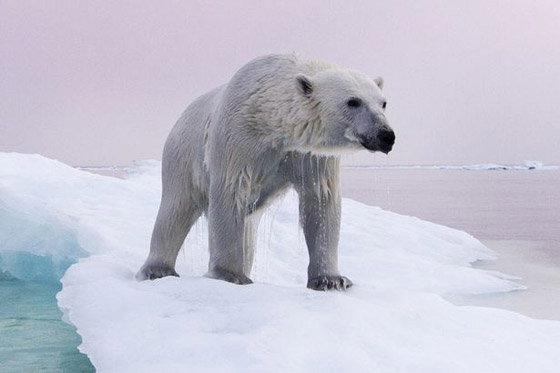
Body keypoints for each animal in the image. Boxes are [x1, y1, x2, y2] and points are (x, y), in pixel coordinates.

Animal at [138, 53, 396, 290]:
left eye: (383, 103)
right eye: (353, 101)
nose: (386, 135)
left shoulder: (309, 155)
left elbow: (320, 200)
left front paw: (332, 280)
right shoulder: (237, 137)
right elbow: (230, 192)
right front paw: (230, 275)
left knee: (247, 233)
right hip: (183, 155)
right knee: (175, 209)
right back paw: (157, 269)